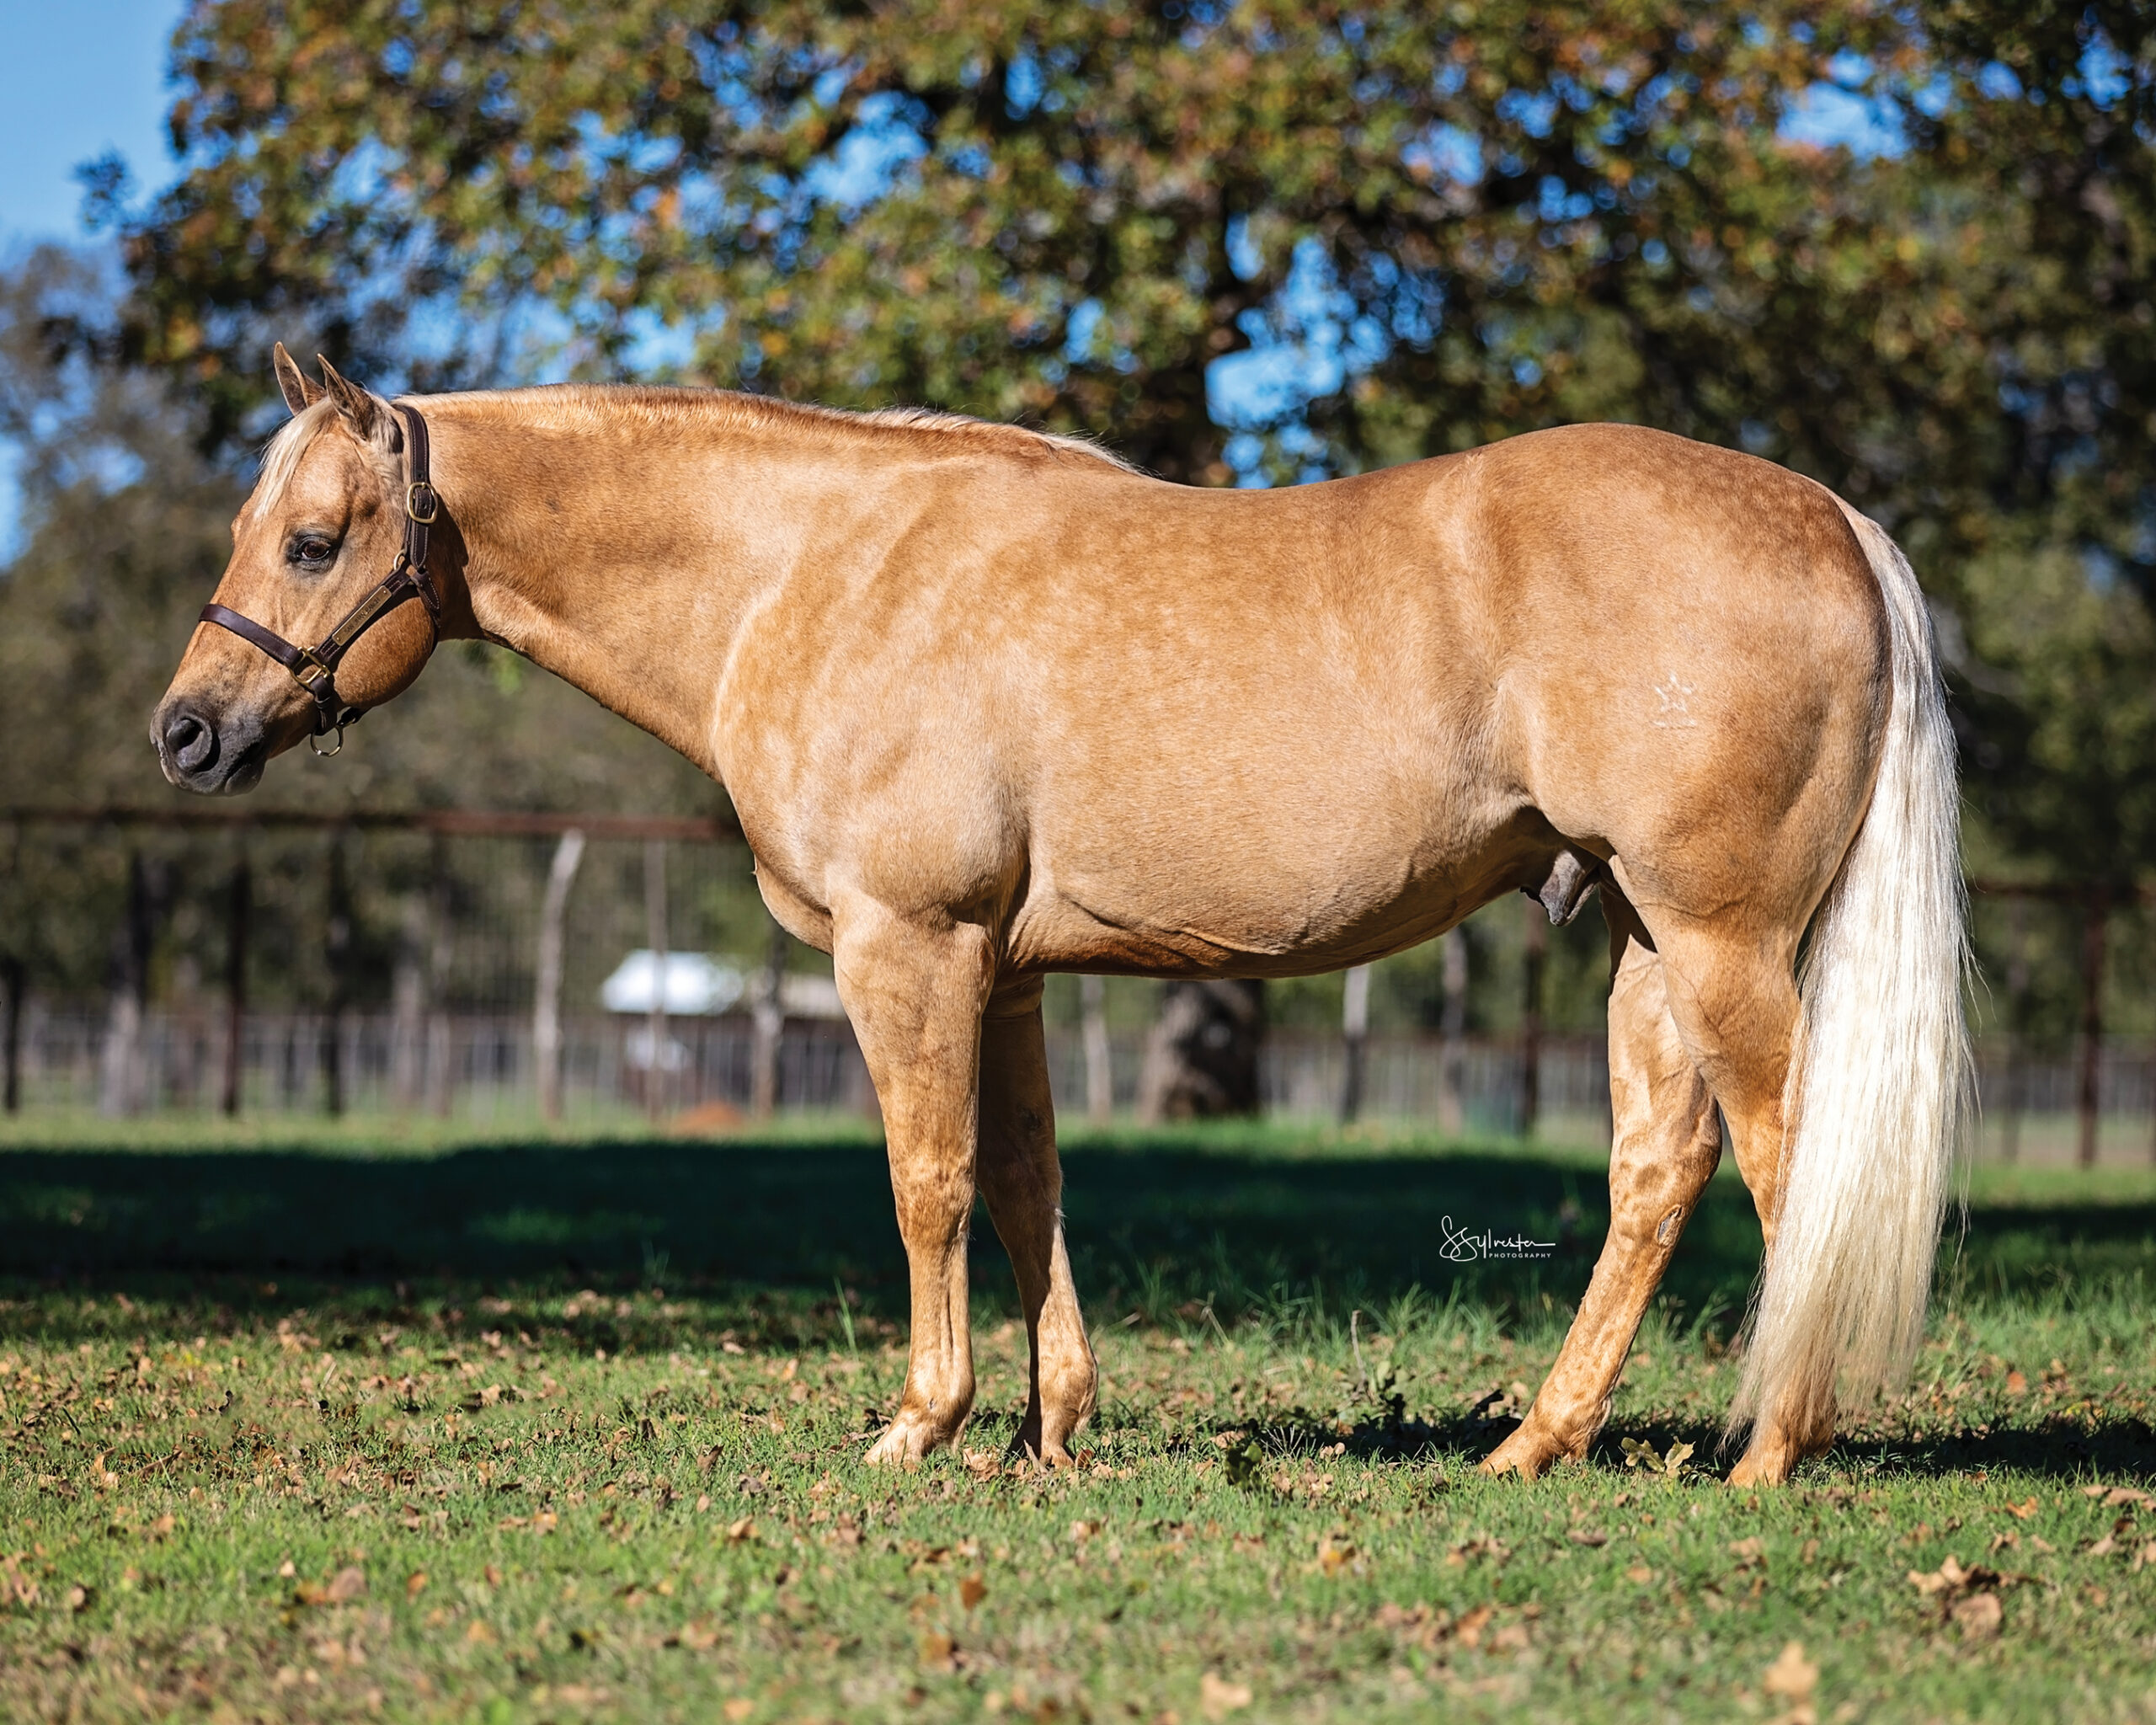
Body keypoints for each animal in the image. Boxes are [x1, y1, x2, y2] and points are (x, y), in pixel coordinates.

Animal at [154, 348, 1970, 1485]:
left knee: (1786, 1159)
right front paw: (1049, 1424)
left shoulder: (907, 944)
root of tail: (1829, 520)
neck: (815, 567)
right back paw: (1534, 1440)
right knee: (1655, 1174)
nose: (186, 733)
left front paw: (920, 1421)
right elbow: (1026, 1181)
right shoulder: (1007, 973)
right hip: (1648, 945)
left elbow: (930, 1180)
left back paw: (1770, 1450)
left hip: (1721, 941)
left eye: (312, 540)